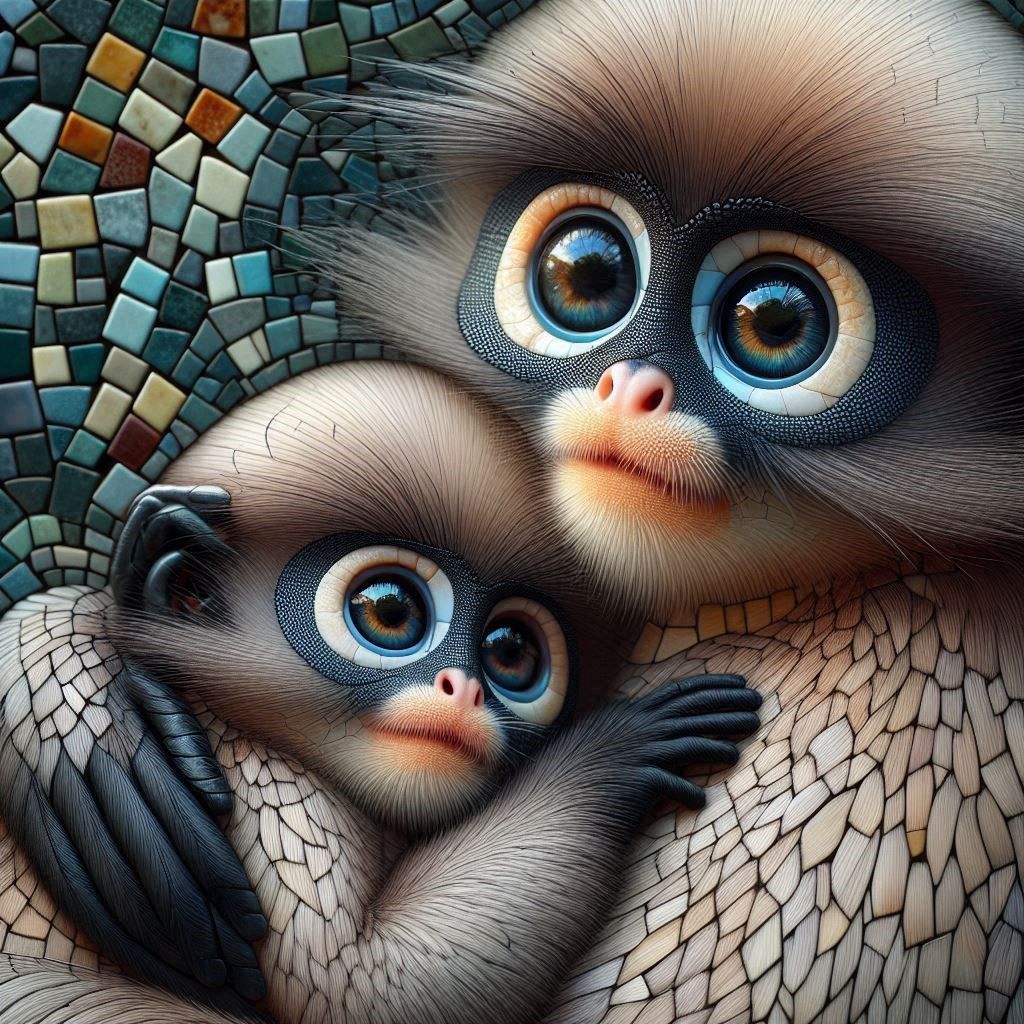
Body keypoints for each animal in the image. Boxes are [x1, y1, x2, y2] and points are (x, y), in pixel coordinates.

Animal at [0, 360, 763, 1024]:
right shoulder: (257, 781)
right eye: (390, 612)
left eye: (511, 652)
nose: (464, 691)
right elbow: (363, 988)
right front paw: (616, 749)